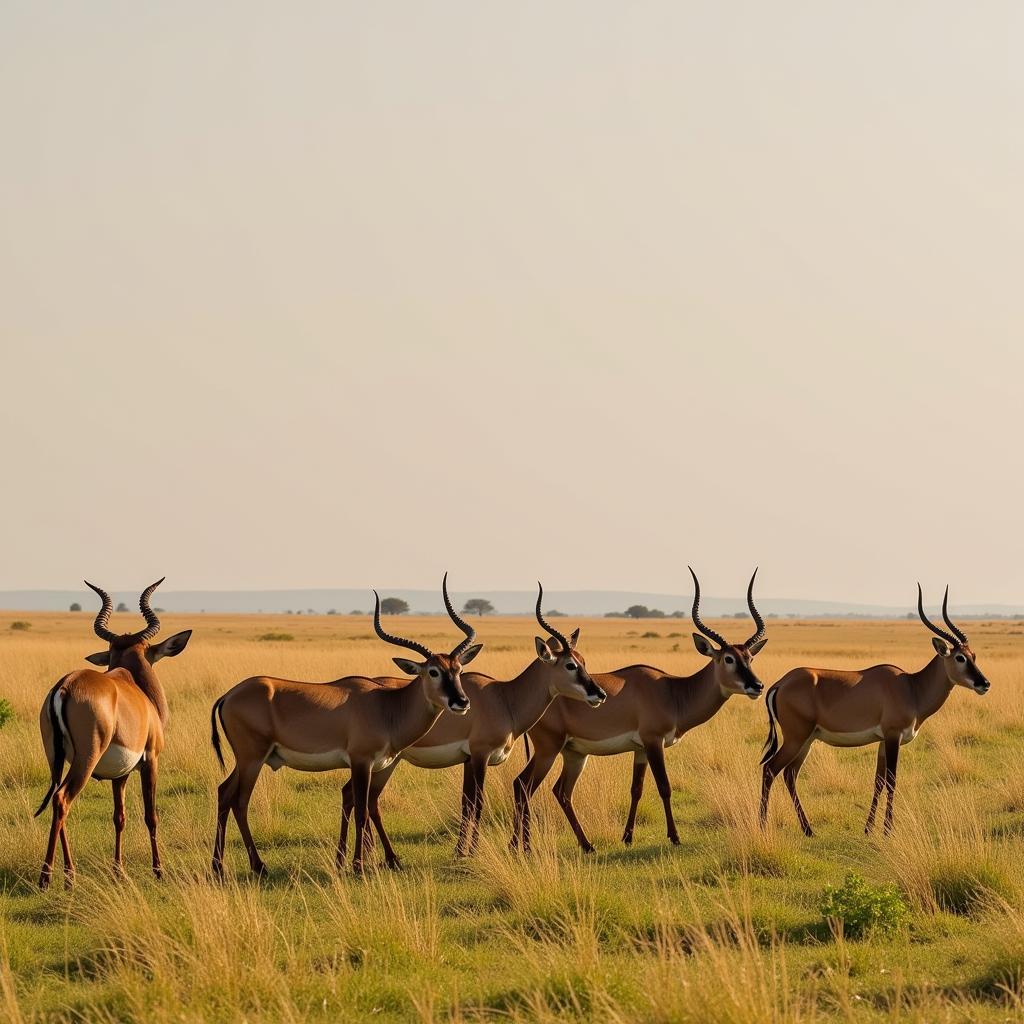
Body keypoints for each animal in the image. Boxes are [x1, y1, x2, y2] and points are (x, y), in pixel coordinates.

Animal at [34, 585, 191, 888]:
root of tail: (65, 686)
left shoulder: (120, 774)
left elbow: (119, 817)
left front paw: (119, 871)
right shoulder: (151, 761)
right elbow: (151, 815)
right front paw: (158, 870)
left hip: (55, 760)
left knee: (56, 800)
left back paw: (68, 875)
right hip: (86, 760)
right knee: (62, 800)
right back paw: (51, 878)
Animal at [209, 577, 481, 872]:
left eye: (458, 670)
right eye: (433, 671)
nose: (462, 702)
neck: (387, 707)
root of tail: (229, 695)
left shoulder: (378, 765)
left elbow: (367, 807)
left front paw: (375, 860)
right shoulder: (361, 762)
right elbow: (362, 809)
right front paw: (358, 865)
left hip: (245, 761)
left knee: (224, 793)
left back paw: (218, 866)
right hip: (252, 760)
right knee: (239, 801)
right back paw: (258, 866)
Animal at [335, 585, 606, 864]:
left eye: (583, 661)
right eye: (570, 664)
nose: (599, 694)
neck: (503, 698)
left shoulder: (466, 759)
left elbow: (466, 804)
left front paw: (459, 851)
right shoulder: (480, 755)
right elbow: (478, 803)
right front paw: (473, 852)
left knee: (356, 797)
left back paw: (368, 856)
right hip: (380, 763)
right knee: (361, 798)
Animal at [516, 573, 765, 851]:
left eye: (749, 658)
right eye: (729, 659)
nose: (757, 686)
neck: (672, 691)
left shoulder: (641, 749)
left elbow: (637, 789)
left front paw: (627, 837)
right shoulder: (654, 742)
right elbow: (664, 786)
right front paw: (674, 837)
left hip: (574, 754)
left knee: (560, 791)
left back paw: (584, 845)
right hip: (548, 750)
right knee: (524, 785)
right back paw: (523, 846)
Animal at [761, 589, 991, 835]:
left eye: (973, 655)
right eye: (960, 657)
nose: (984, 683)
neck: (911, 687)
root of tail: (781, 683)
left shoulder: (882, 740)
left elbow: (878, 780)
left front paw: (868, 828)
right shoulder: (893, 736)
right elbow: (891, 779)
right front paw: (888, 830)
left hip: (807, 740)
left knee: (789, 774)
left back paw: (808, 830)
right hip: (796, 739)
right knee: (770, 770)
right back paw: (763, 825)